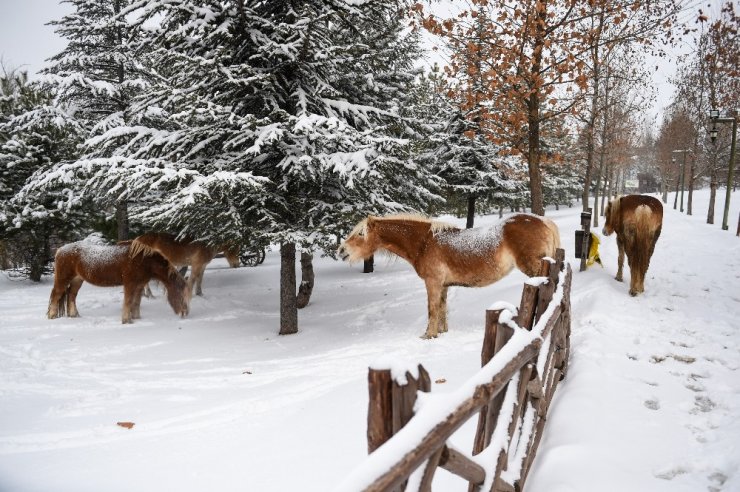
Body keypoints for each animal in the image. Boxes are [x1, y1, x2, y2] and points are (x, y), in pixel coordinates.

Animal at [47, 241, 191, 324]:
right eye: (181, 295)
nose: (185, 313)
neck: (143, 260)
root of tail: (60, 250)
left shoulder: (139, 286)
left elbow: (136, 303)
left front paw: (137, 318)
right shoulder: (130, 284)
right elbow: (128, 301)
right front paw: (126, 320)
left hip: (77, 280)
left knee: (71, 295)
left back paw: (74, 315)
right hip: (63, 279)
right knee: (56, 295)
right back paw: (52, 316)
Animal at [338, 213, 556, 340]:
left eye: (360, 234)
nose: (341, 251)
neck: (424, 243)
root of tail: (543, 221)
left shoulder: (433, 283)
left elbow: (432, 309)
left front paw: (428, 335)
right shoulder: (443, 285)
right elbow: (442, 308)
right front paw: (442, 332)